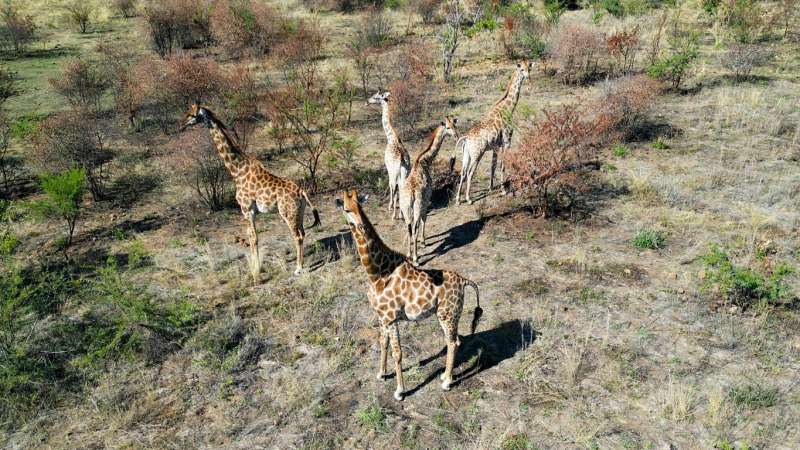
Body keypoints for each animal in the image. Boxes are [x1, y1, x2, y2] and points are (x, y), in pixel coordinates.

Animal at [180, 104, 321, 282]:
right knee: (303, 233)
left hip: (287, 213)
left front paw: (255, 273)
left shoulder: (246, 209)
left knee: (297, 236)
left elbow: (253, 238)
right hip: (299, 212)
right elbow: (252, 237)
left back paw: (298, 269)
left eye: (191, 114)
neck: (236, 170)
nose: (181, 125)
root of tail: (302, 191)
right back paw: (300, 265)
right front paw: (255, 270)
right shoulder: (251, 211)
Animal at [335, 190, 483, 400]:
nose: (362, 226)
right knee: (455, 341)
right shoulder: (382, 317)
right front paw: (381, 373)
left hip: (447, 314)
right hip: (447, 314)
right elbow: (383, 343)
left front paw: (400, 391)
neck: (377, 273)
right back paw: (445, 376)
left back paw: (447, 382)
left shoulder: (391, 318)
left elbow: (397, 353)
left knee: (453, 342)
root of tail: (464, 281)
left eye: (360, 207)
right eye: (347, 209)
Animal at [368, 91, 411, 220]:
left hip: (394, 174)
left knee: (395, 188)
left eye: (375, 97)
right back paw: (402, 213)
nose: (367, 101)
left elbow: (390, 187)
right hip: (405, 173)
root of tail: (402, 160)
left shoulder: (388, 168)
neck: (391, 138)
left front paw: (390, 206)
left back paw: (394, 214)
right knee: (402, 188)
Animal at [398, 116, 459, 263]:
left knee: (409, 228)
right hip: (417, 207)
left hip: (406, 209)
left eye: (454, 125)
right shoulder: (427, 200)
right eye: (447, 127)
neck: (424, 162)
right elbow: (424, 220)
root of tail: (411, 196)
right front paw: (423, 241)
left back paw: (408, 254)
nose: (456, 135)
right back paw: (416, 258)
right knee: (414, 228)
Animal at [453, 61, 533, 205]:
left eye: (529, 68)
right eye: (522, 70)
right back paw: (468, 198)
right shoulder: (507, 141)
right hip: (477, 153)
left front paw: (491, 188)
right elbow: (502, 165)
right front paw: (503, 190)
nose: (528, 78)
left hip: (466, 154)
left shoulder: (496, 146)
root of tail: (466, 137)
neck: (508, 109)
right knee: (470, 172)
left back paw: (458, 199)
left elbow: (493, 165)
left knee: (462, 172)